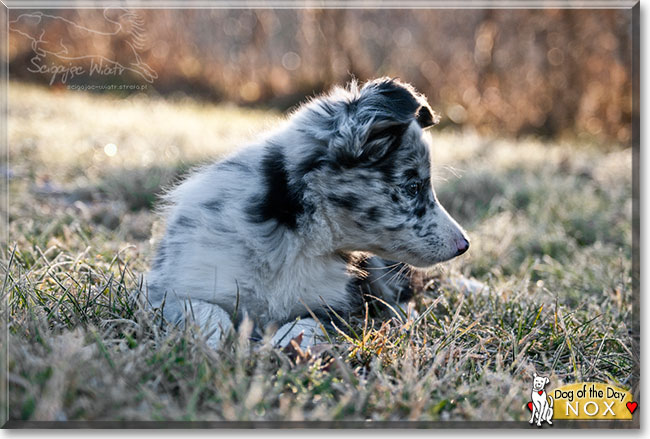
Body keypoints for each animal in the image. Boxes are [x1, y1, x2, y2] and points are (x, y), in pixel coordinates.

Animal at [147, 76, 468, 350]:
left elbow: (308, 322)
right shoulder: (167, 289)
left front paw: (285, 344)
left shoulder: (334, 308)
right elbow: (204, 309)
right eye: (413, 187)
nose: (464, 245)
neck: (295, 239)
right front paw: (218, 342)